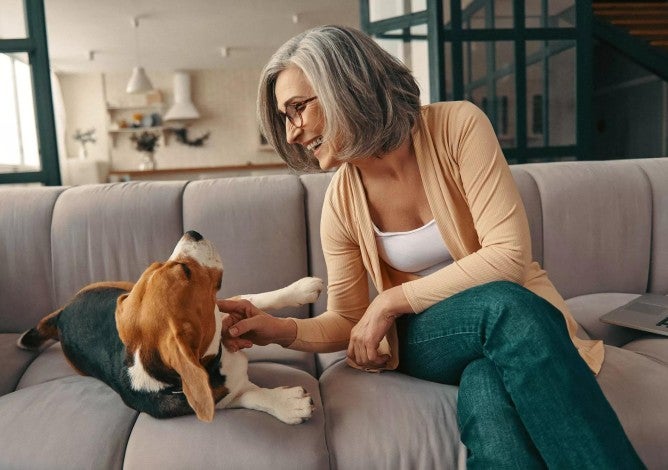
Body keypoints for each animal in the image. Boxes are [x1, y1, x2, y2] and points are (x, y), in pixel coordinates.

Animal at [17, 229, 322, 424]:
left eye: (160, 264)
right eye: (185, 271)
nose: (192, 232)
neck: (216, 358)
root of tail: (63, 313)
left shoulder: (222, 311)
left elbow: (251, 298)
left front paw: (300, 289)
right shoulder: (218, 399)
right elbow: (250, 396)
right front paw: (289, 404)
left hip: (121, 289)